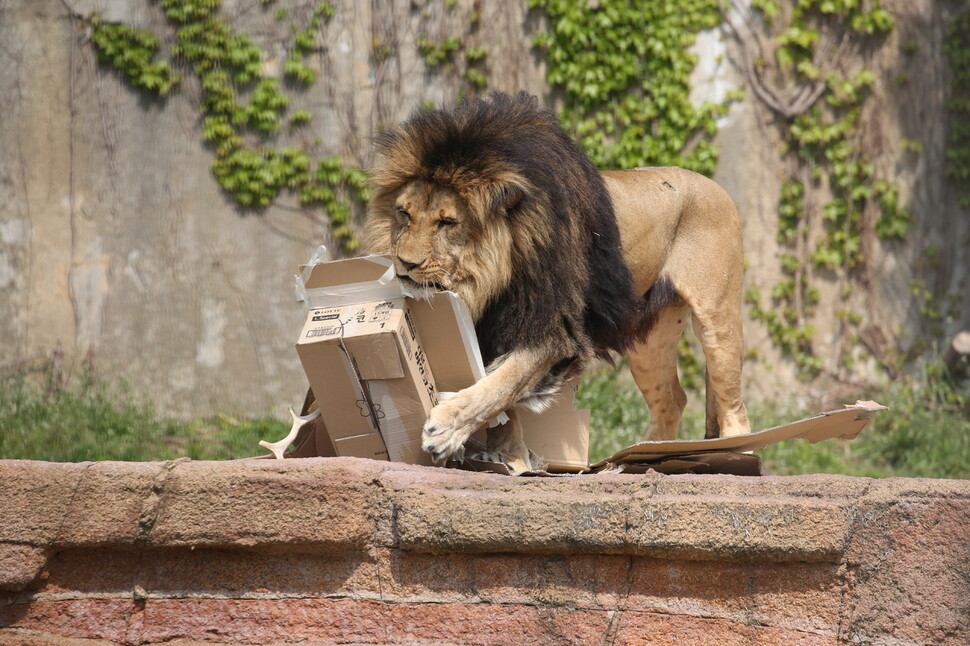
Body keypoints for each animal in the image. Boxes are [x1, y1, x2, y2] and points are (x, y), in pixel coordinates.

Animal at [364, 91, 748, 474]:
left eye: (447, 223)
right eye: (404, 213)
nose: (405, 264)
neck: (489, 276)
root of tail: (714, 185)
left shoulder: (552, 327)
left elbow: (505, 382)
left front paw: (447, 428)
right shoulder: (491, 326)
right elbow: (502, 397)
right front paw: (509, 454)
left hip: (718, 318)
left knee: (733, 405)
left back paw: (735, 455)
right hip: (650, 339)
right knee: (671, 400)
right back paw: (644, 456)